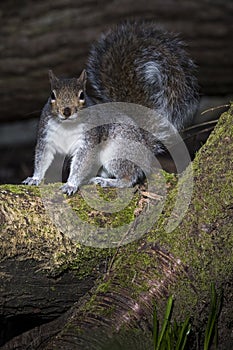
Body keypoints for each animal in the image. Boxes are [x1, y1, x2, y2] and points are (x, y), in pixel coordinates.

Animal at [22, 21, 199, 197]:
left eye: (82, 95)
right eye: (52, 95)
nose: (66, 111)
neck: (67, 125)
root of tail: (145, 147)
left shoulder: (88, 140)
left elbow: (81, 163)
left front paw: (71, 184)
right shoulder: (46, 136)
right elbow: (42, 159)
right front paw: (35, 178)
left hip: (117, 151)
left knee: (130, 177)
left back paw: (109, 181)